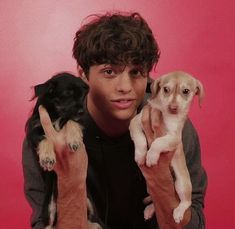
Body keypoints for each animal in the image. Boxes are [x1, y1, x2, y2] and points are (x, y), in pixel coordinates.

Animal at [129, 70, 205, 223]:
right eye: (165, 89)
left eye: (186, 91)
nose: (173, 108)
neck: (166, 115)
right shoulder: (135, 122)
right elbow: (140, 140)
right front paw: (140, 155)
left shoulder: (174, 138)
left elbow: (158, 142)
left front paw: (151, 156)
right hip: (150, 187)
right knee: (154, 199)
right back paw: (149, 209)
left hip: (182, 184)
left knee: (186, 202)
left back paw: (178, 212)